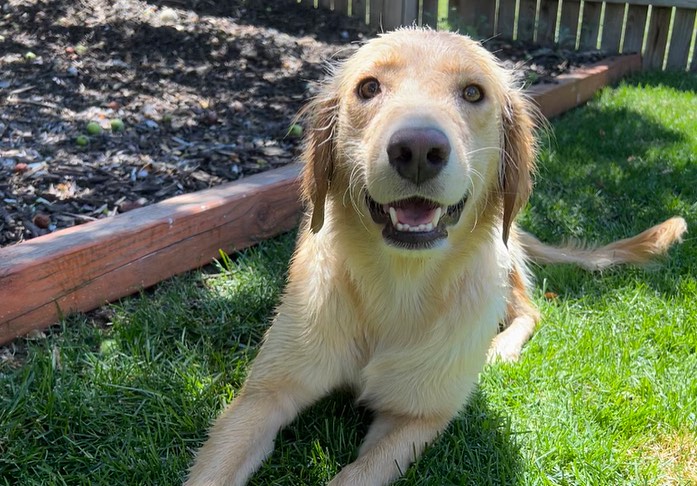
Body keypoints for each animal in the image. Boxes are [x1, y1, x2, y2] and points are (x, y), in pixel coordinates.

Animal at [184, 27, 684, 486]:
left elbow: (357, 474)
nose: (419, 150)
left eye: (473, 92)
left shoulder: (417, 417)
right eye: (368, 87)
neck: (398, 287)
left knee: (532, 310)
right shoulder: (263, 394)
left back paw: (501, 348)